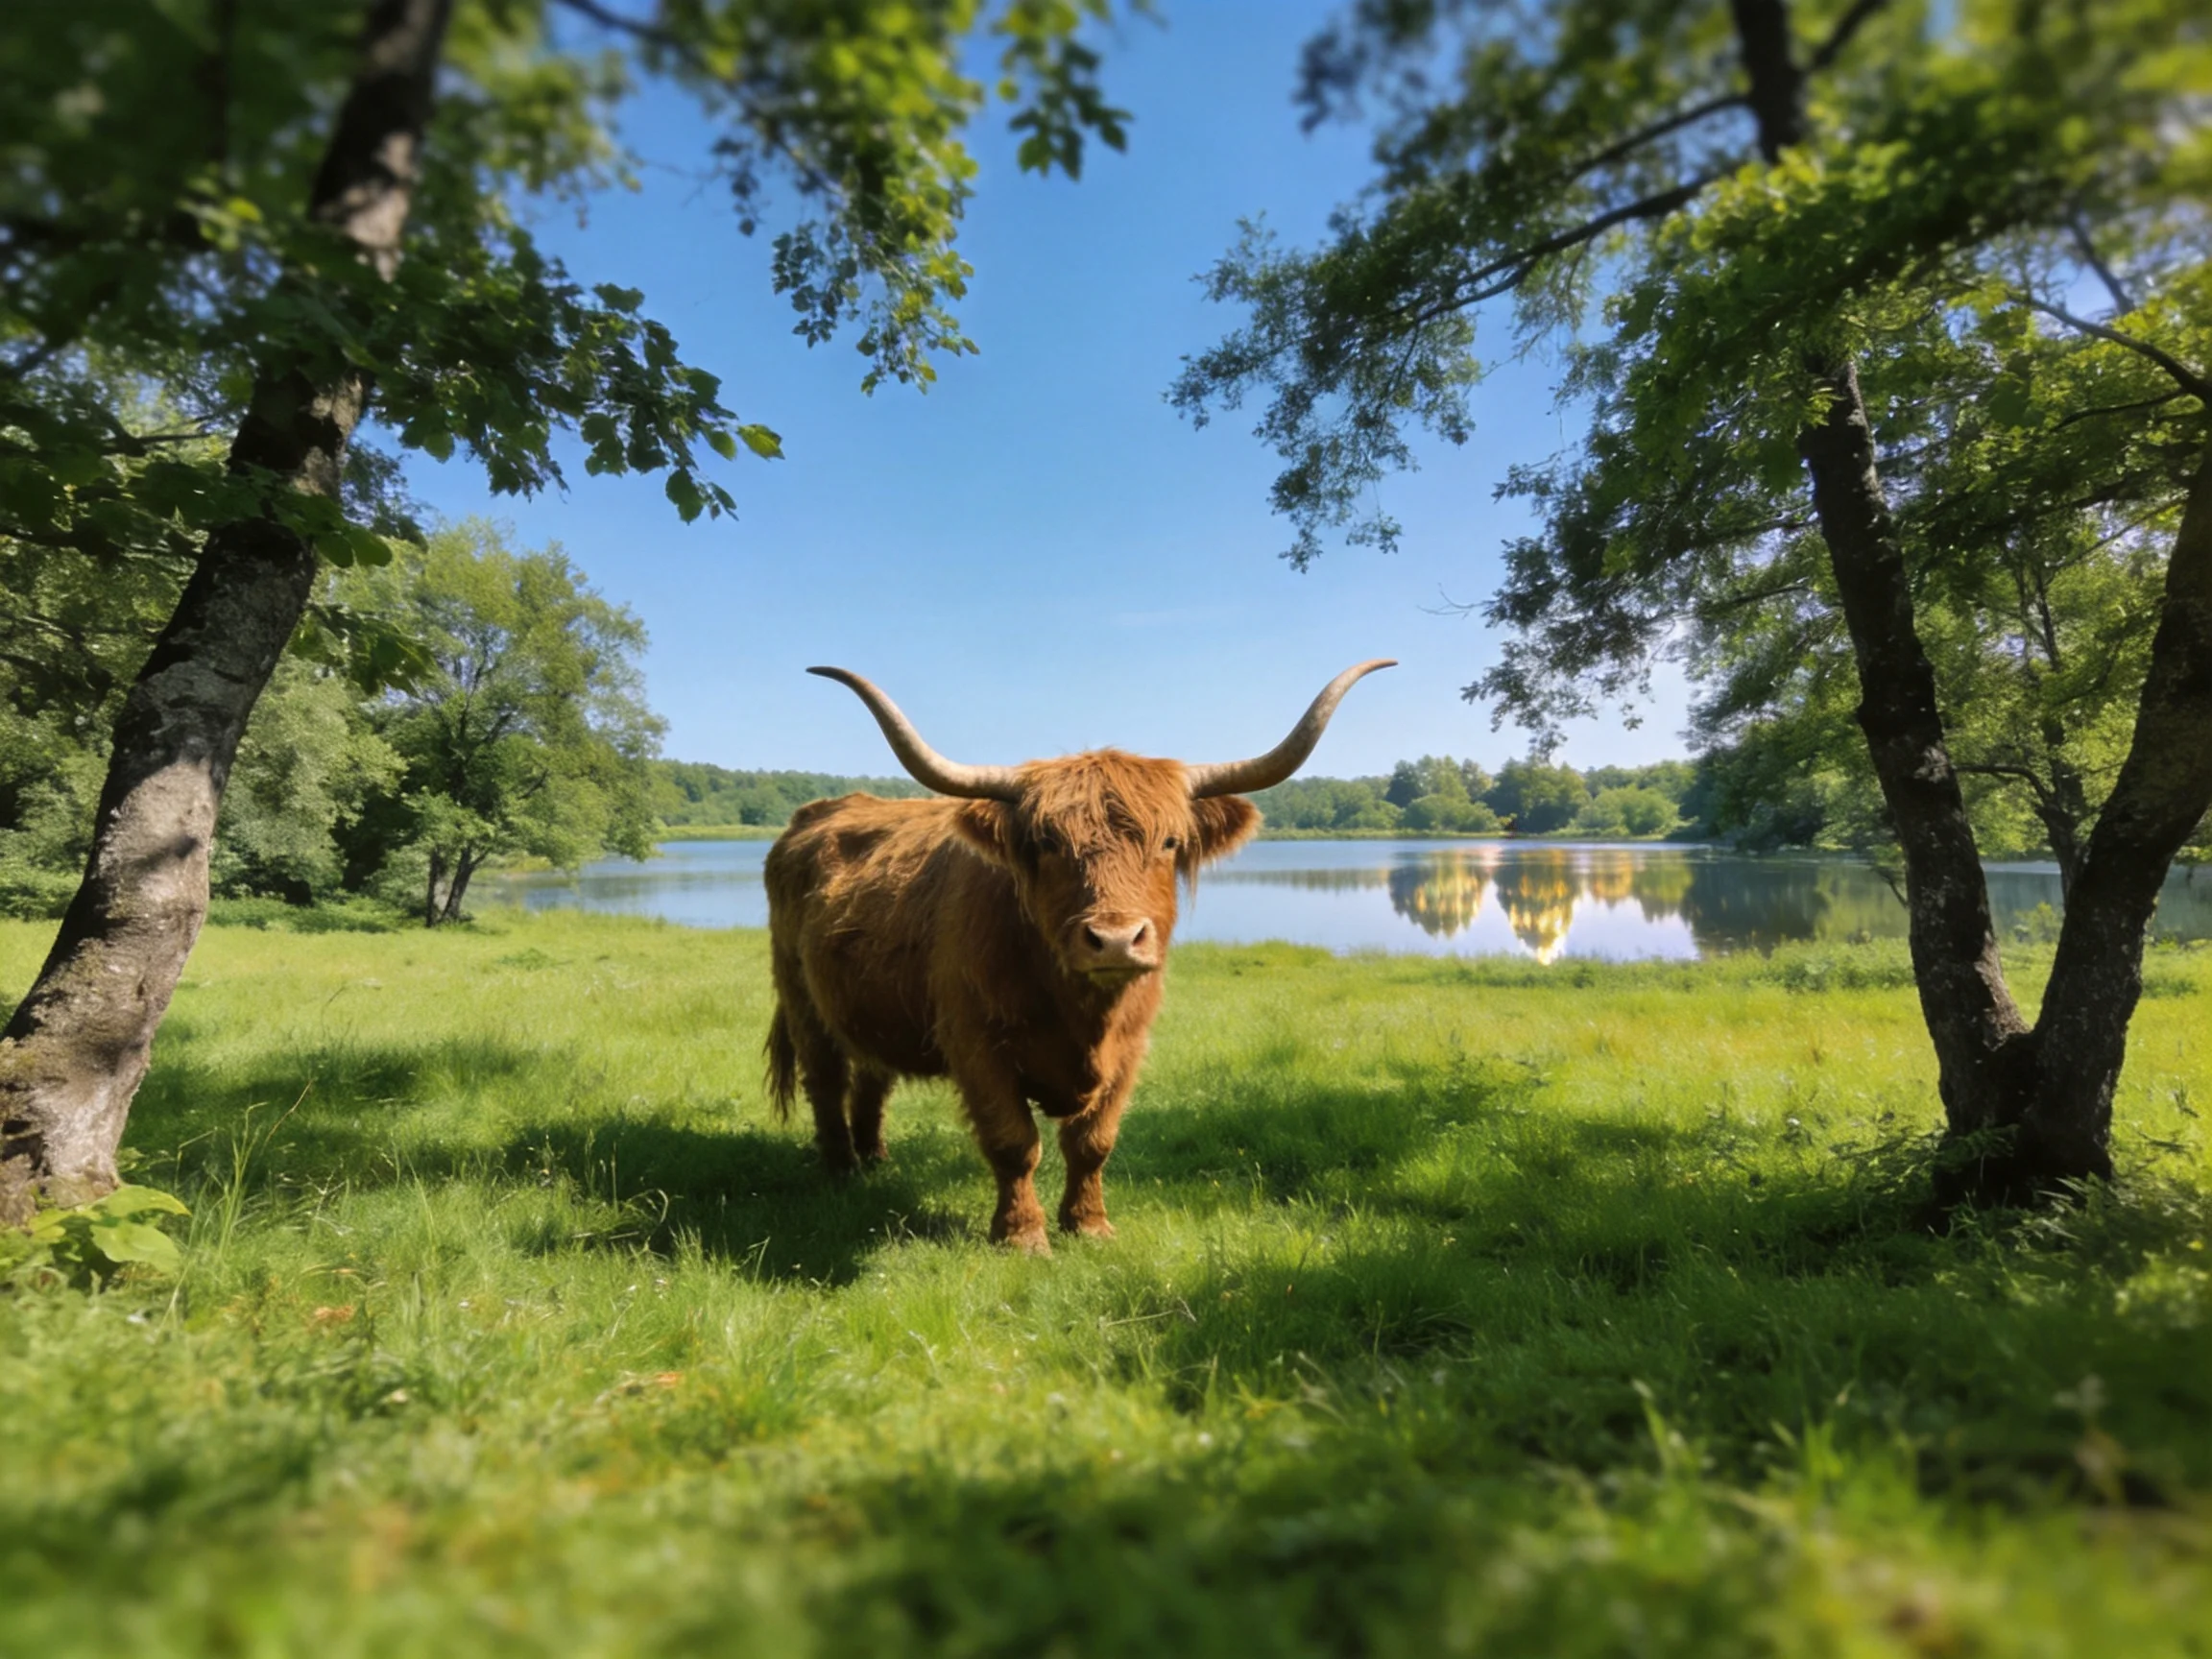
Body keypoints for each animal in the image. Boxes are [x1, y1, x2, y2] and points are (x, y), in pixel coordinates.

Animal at [763, 660, 1395, 1253]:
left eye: (1169, 842)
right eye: (1047, 843)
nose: (1115, 939)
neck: (1080, 1012)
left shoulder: (1130, 1046)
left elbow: (1092, 1142)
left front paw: (1089, 1225)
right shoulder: (975, 1042)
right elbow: (1014, 1141)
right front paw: (1021, 1236)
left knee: (873, 1077)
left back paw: (875, 1160)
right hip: (802, 999)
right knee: (826, 1080)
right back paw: (841, 1171)